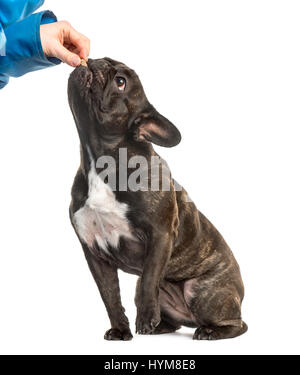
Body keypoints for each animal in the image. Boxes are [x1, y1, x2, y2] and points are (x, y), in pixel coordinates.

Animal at [68, 57, 248, 342]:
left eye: (120, 82)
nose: (95, 61)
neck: (100, 161)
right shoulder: (94, 252)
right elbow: (110, 296)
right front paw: (121, 330)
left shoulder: (160, 235)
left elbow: (150, 278)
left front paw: (144, 320)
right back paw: (161, 326)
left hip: (203, 291)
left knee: (237, 324)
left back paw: (209, 331)